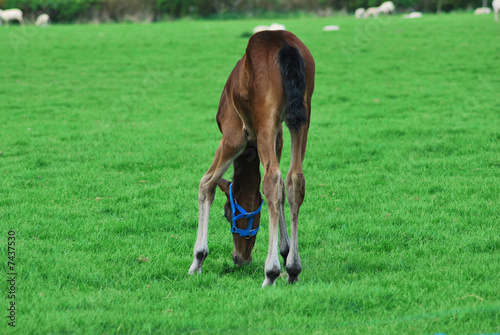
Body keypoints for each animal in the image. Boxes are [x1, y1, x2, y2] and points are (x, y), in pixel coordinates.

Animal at [189, 30, 314, 286]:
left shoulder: (233, 136)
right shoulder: (278, 138)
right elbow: (283, 189)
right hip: (301, 117)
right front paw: (285, 251)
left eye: (227, 213)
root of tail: (284, 44)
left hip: (265, 118)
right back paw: (293, 269)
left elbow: (206, 183)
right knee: (294, 179)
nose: (240, 259)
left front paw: (198, 259)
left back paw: (271, 273)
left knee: (272, 179)